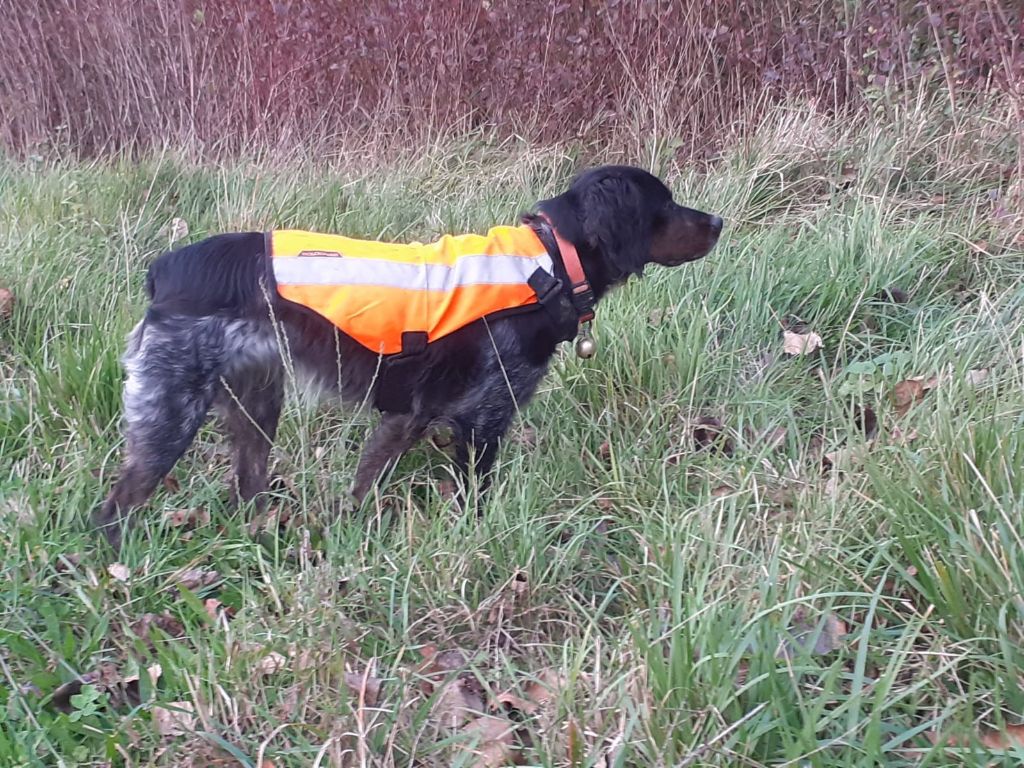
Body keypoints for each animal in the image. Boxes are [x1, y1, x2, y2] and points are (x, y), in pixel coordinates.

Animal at [96, 165, 720, 548]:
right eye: (665, 204)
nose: (718, 221)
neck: (549, 263)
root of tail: (165, 271)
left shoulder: (409, 418)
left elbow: (366, 481)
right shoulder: (482, 417)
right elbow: (470, 495)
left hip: (255, 405)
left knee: (248, 488)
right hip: (171, 412)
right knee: (114, 507)